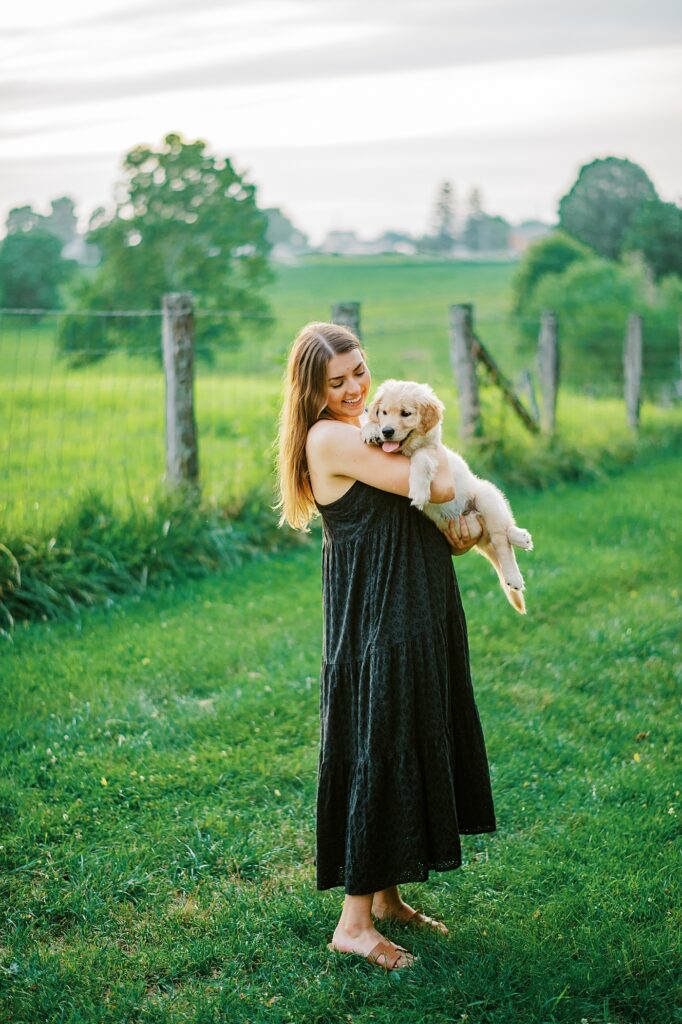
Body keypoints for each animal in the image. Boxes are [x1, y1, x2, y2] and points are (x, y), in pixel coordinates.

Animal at [360, 380, 532, 610]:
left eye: (406, 413)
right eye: (384, 412)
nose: (387, 431)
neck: (405, 451)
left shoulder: (433, 452)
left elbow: (420, 458)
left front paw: (419, 491)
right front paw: (370, 429)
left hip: (487, 496)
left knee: (501, 539)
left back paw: (515, 566)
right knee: (496, 534)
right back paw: (521, 538)